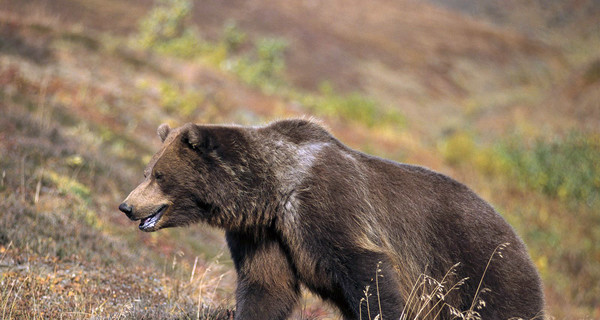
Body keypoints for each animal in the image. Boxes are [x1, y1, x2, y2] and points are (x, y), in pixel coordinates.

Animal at [120, 119, 544, 320]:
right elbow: (266, 287)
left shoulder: (327, 208)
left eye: (159, 175)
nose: (126, 206)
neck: (273, 189)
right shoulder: (264, 234)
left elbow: (370, 277)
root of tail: (520, 239)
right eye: (147, 170)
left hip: (480, 272)